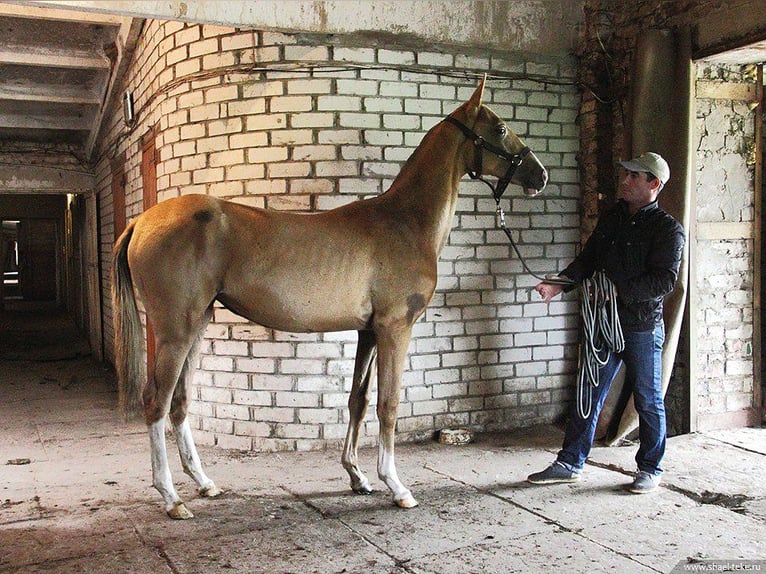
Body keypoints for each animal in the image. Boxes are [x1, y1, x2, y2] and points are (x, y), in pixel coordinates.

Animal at [111, 74, 548, 520]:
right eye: (500, 129)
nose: (540, 175)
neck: (405, 222)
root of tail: (140, 222)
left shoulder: (368, 332)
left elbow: (359, 399)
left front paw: (358, 477)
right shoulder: (395, 328)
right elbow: (389, 405)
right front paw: (396, 485)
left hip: (197, 325)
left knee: (179, 402)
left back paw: (204, 484)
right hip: (175, 330)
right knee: (157, 402)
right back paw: (171, 498)